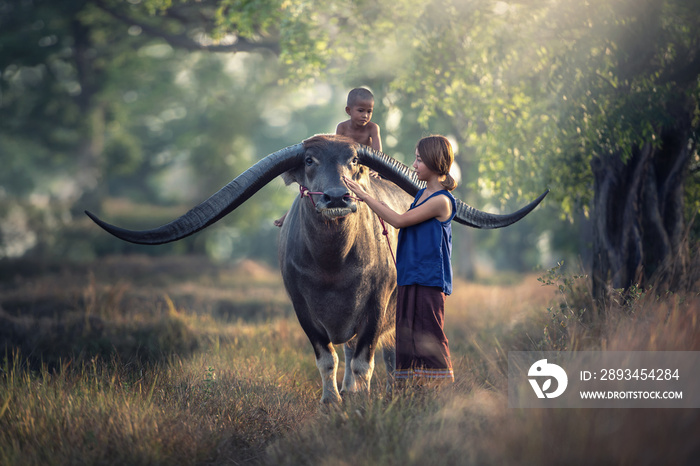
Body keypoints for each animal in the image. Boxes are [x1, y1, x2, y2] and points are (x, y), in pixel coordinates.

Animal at [86, 135, 548, 404]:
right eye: (309, 160)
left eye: (354, 162)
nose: (338, 197)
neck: (333, 267)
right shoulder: (302, 310)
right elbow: (327, 359)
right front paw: (332, 404)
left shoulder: (375, 308)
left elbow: (361, 362)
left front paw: (357, 404)